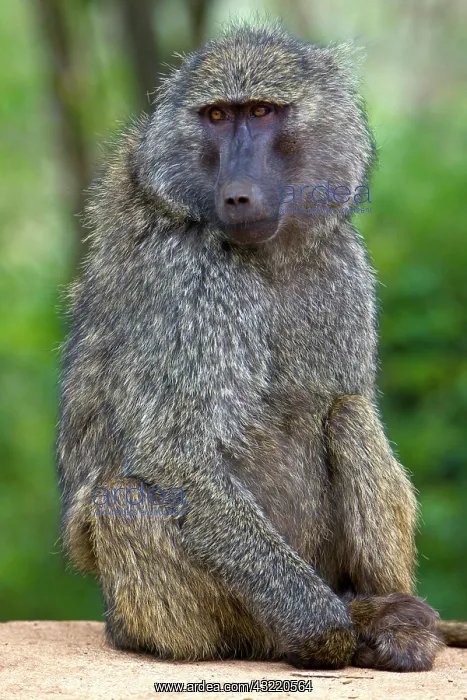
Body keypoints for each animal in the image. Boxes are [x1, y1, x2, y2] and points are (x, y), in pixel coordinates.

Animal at [57, 19, 466, 672]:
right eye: (217, 116)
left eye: (261, 112)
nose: (239, 194)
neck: (269, 256)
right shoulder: (187, 279)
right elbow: (175, 453)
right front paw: (328, 631)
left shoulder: (343, 263)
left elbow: (346, 399)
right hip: (210, 618)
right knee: (124, 498)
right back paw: (346, 623)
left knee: (348, 415)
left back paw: (390, 616)